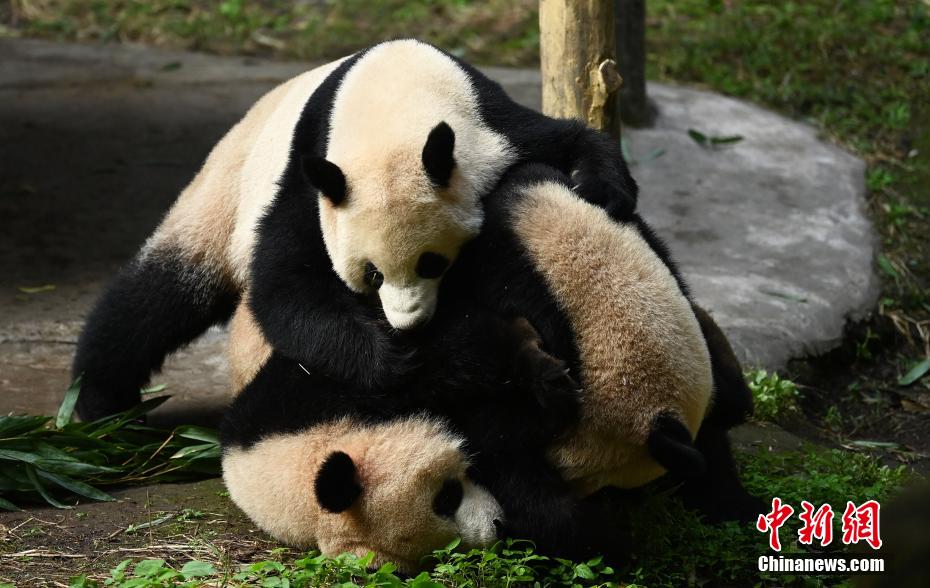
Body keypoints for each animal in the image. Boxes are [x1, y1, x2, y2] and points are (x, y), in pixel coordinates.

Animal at [72, 39, 640, 420]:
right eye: (372, 274)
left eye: (433, 262)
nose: (408, 324)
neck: (390, 109)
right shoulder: (312, 181)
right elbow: (287, 286)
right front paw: (389, 357)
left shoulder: (490, 129)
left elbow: (567, 137)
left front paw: (602, 189)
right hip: (225, 195)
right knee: (156, 297)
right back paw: (100, 402)